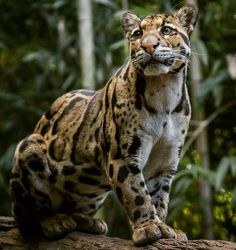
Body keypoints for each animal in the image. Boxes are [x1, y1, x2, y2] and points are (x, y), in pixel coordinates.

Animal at [9, 3, 197, 246]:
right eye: (137, 34)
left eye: (166, 30)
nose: (148, 45)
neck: (164, 90)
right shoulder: (123, 156)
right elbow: (137, 194)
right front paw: (148, 227)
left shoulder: (165, 162)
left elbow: (159, 199)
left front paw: (164, 226)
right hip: (28, 146)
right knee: (25, 217)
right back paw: (54, 221)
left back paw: (87, 221)